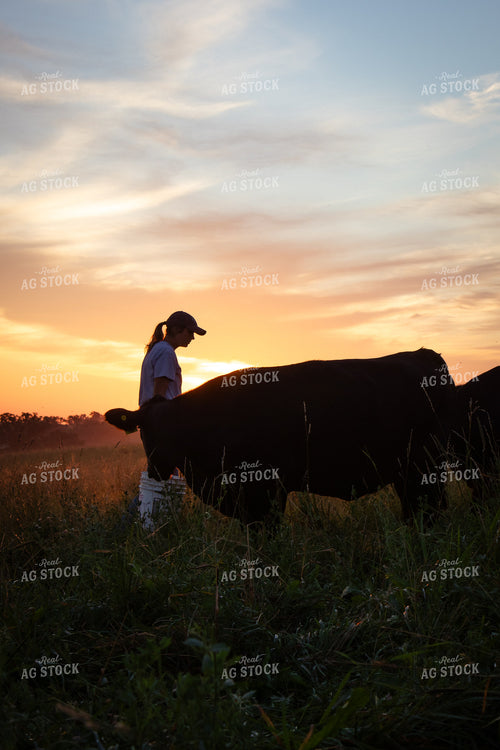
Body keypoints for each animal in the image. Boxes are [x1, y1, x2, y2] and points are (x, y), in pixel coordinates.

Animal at [105, 348, 455, 525]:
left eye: (170, 431)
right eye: (144, 430)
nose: (155, 469)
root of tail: (426, 354)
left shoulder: (266, 489)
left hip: (424, 466)